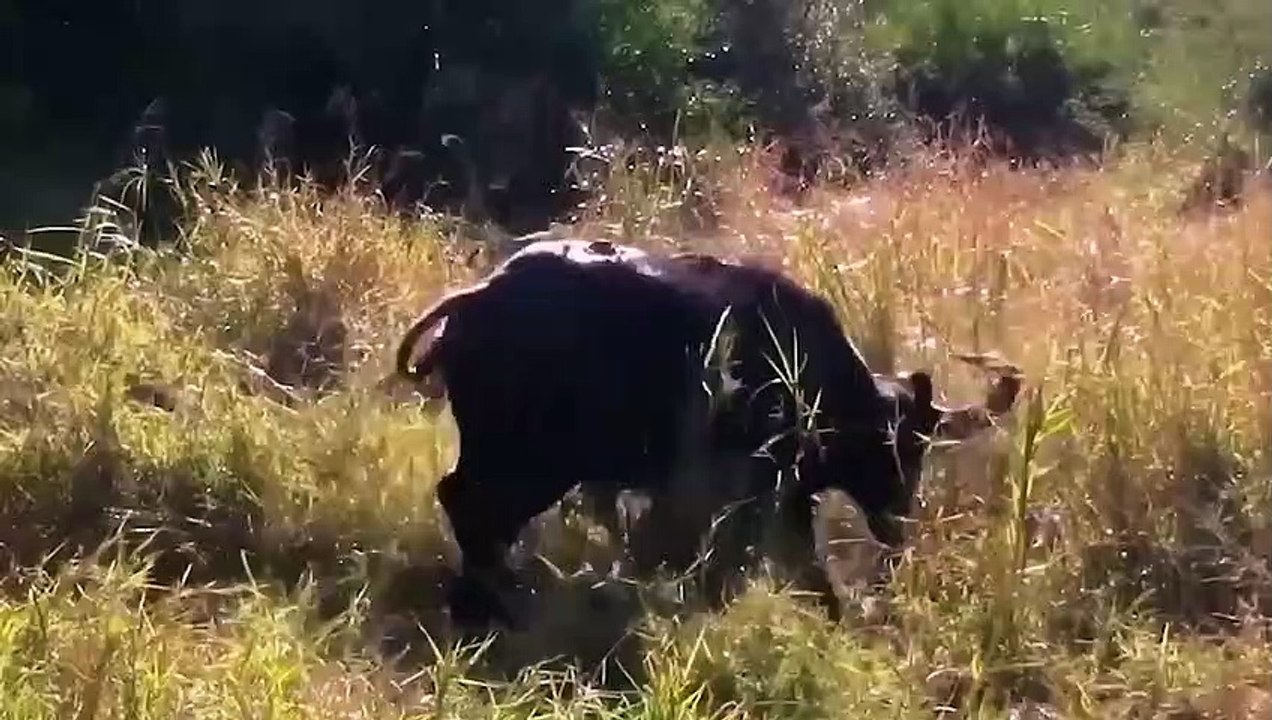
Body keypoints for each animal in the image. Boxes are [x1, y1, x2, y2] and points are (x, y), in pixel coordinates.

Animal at [394, 238, 1022, 628]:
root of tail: (479, 298)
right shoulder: (767, 497)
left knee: (464, 505)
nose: (898, 522)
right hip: (530, 464)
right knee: (473, 510)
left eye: (921, 445)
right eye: (897, 446)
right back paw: (485, 607)